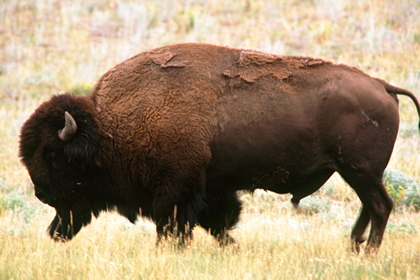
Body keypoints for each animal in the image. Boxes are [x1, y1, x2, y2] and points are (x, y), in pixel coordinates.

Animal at [20, 42, 420, 253]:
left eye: (53, 155)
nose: (40, 193)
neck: (107, 130)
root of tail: (382, 86)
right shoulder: (208, 188)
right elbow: (217, 222)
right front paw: (231, 246)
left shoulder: (176, 190)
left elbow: (175, 226)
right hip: (356, 172)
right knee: (371, 207)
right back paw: (353, 246)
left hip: (359, 170)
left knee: (380, 206)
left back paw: (366, 252)